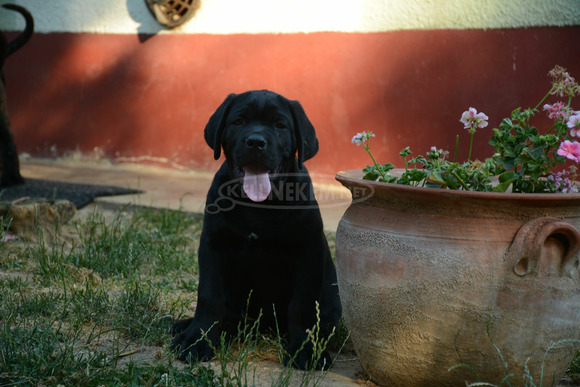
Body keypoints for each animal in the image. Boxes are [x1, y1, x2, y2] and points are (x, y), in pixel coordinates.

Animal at [174, 90, 342, 370]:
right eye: (238, 121)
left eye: (280, 125)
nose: (255, 142)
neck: (258, 206)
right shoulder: (212, 245)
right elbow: (209, 296)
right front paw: (198, 340)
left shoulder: (308, 251)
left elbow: (302, 305)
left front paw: (306, 350)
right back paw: (184, 327)